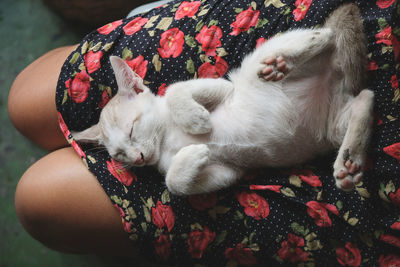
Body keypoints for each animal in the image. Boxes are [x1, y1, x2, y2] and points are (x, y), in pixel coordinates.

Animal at [72, 3, 376, 197]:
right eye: (119, 155)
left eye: (132, 129)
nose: (138, 158)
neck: (165, 140)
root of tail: (334, 72)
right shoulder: (229, 171)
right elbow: (177, 184)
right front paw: (194, 156)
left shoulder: (224, 87)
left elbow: (174, 92)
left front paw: (197, 121)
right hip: (330, 128)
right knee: (365, 99)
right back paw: (349, 162)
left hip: (260, 63)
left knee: (326, 36)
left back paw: (284, 61)